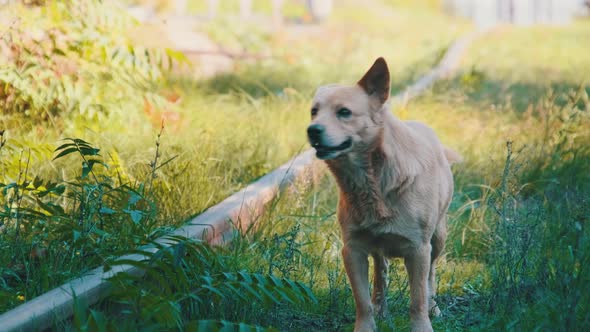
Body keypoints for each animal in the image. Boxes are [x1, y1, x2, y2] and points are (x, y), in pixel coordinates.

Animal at [308, 57, 464, 332]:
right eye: (314, 111)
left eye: (344, 112)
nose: (312, 130)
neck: (374, 183)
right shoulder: (353, 250)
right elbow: (362, 301)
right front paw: (367, 325)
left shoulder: (418, 250)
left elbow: (417, 299)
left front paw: (423, 324)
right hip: (379, 245)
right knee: (381, 273)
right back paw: (381, 308)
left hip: (438, 238)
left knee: (431, 275)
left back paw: (434, 306)